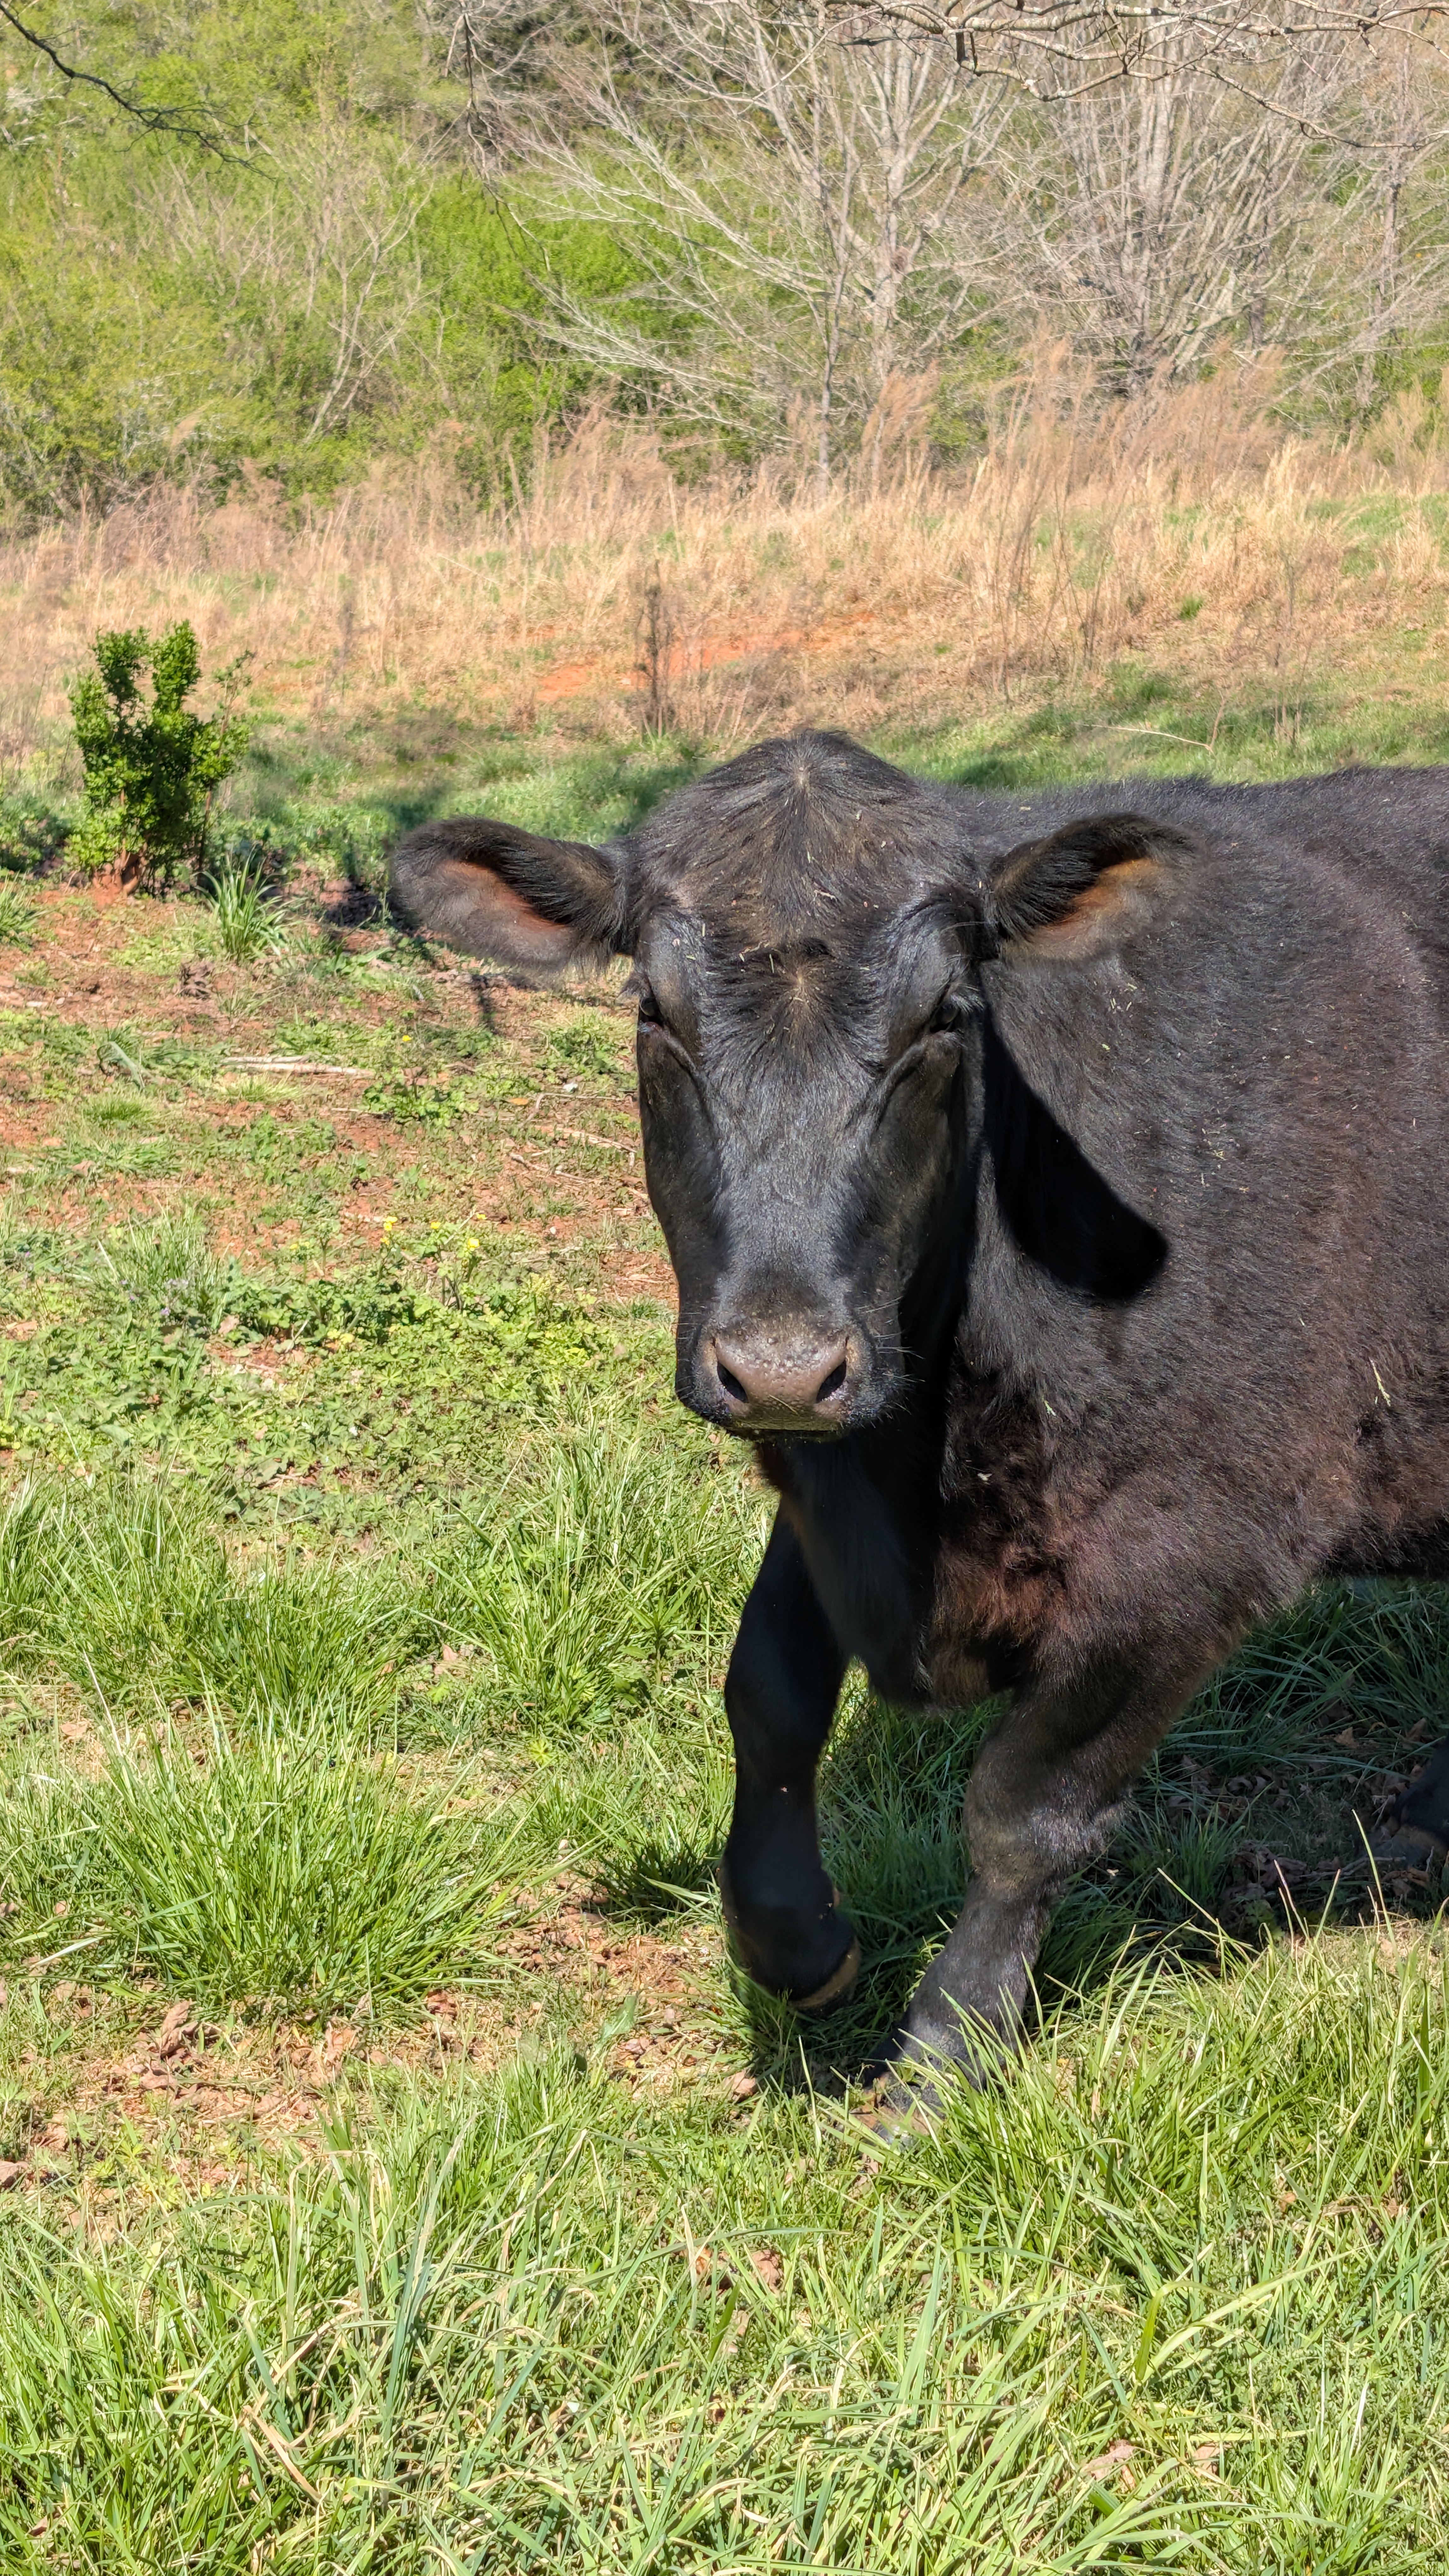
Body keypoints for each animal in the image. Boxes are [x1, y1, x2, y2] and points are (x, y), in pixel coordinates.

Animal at [392, 731, 1449, 2099]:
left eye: (944, 1019)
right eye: (652, 1014)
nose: (782, 1363)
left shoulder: (1195, 1552)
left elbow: (1022, 1811)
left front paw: (944, 2058)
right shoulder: (836, 1470)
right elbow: (767, 1696)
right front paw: (794, 1942)